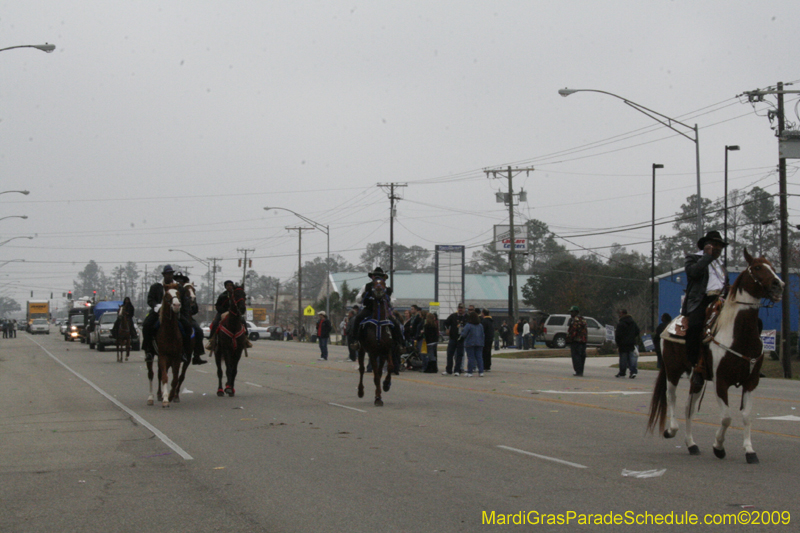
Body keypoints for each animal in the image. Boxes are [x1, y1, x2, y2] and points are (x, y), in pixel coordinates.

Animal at [356, 276, 394, 406]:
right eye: (374, 283)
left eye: (383, 282)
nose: (378, 289)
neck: (378, 323)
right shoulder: (372, 352)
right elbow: (376, 375)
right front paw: (378, 398)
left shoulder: (386, 350)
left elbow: (389, 367)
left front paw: (386, 385)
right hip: (361, 350)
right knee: (362, 369)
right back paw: (360, 391)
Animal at [648, 249, 784, 462]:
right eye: (757, 267)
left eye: (772, 266)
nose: (779, 284)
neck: (739, 335)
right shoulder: (721, 381)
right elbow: (727, 418)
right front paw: (718, 447)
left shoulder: (751, 381)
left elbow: (746, 416)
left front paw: (749, 451)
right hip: (672, 370)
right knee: (672, 397)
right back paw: (671, 430)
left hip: (697, 378)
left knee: (688, 407)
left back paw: (691, 444)